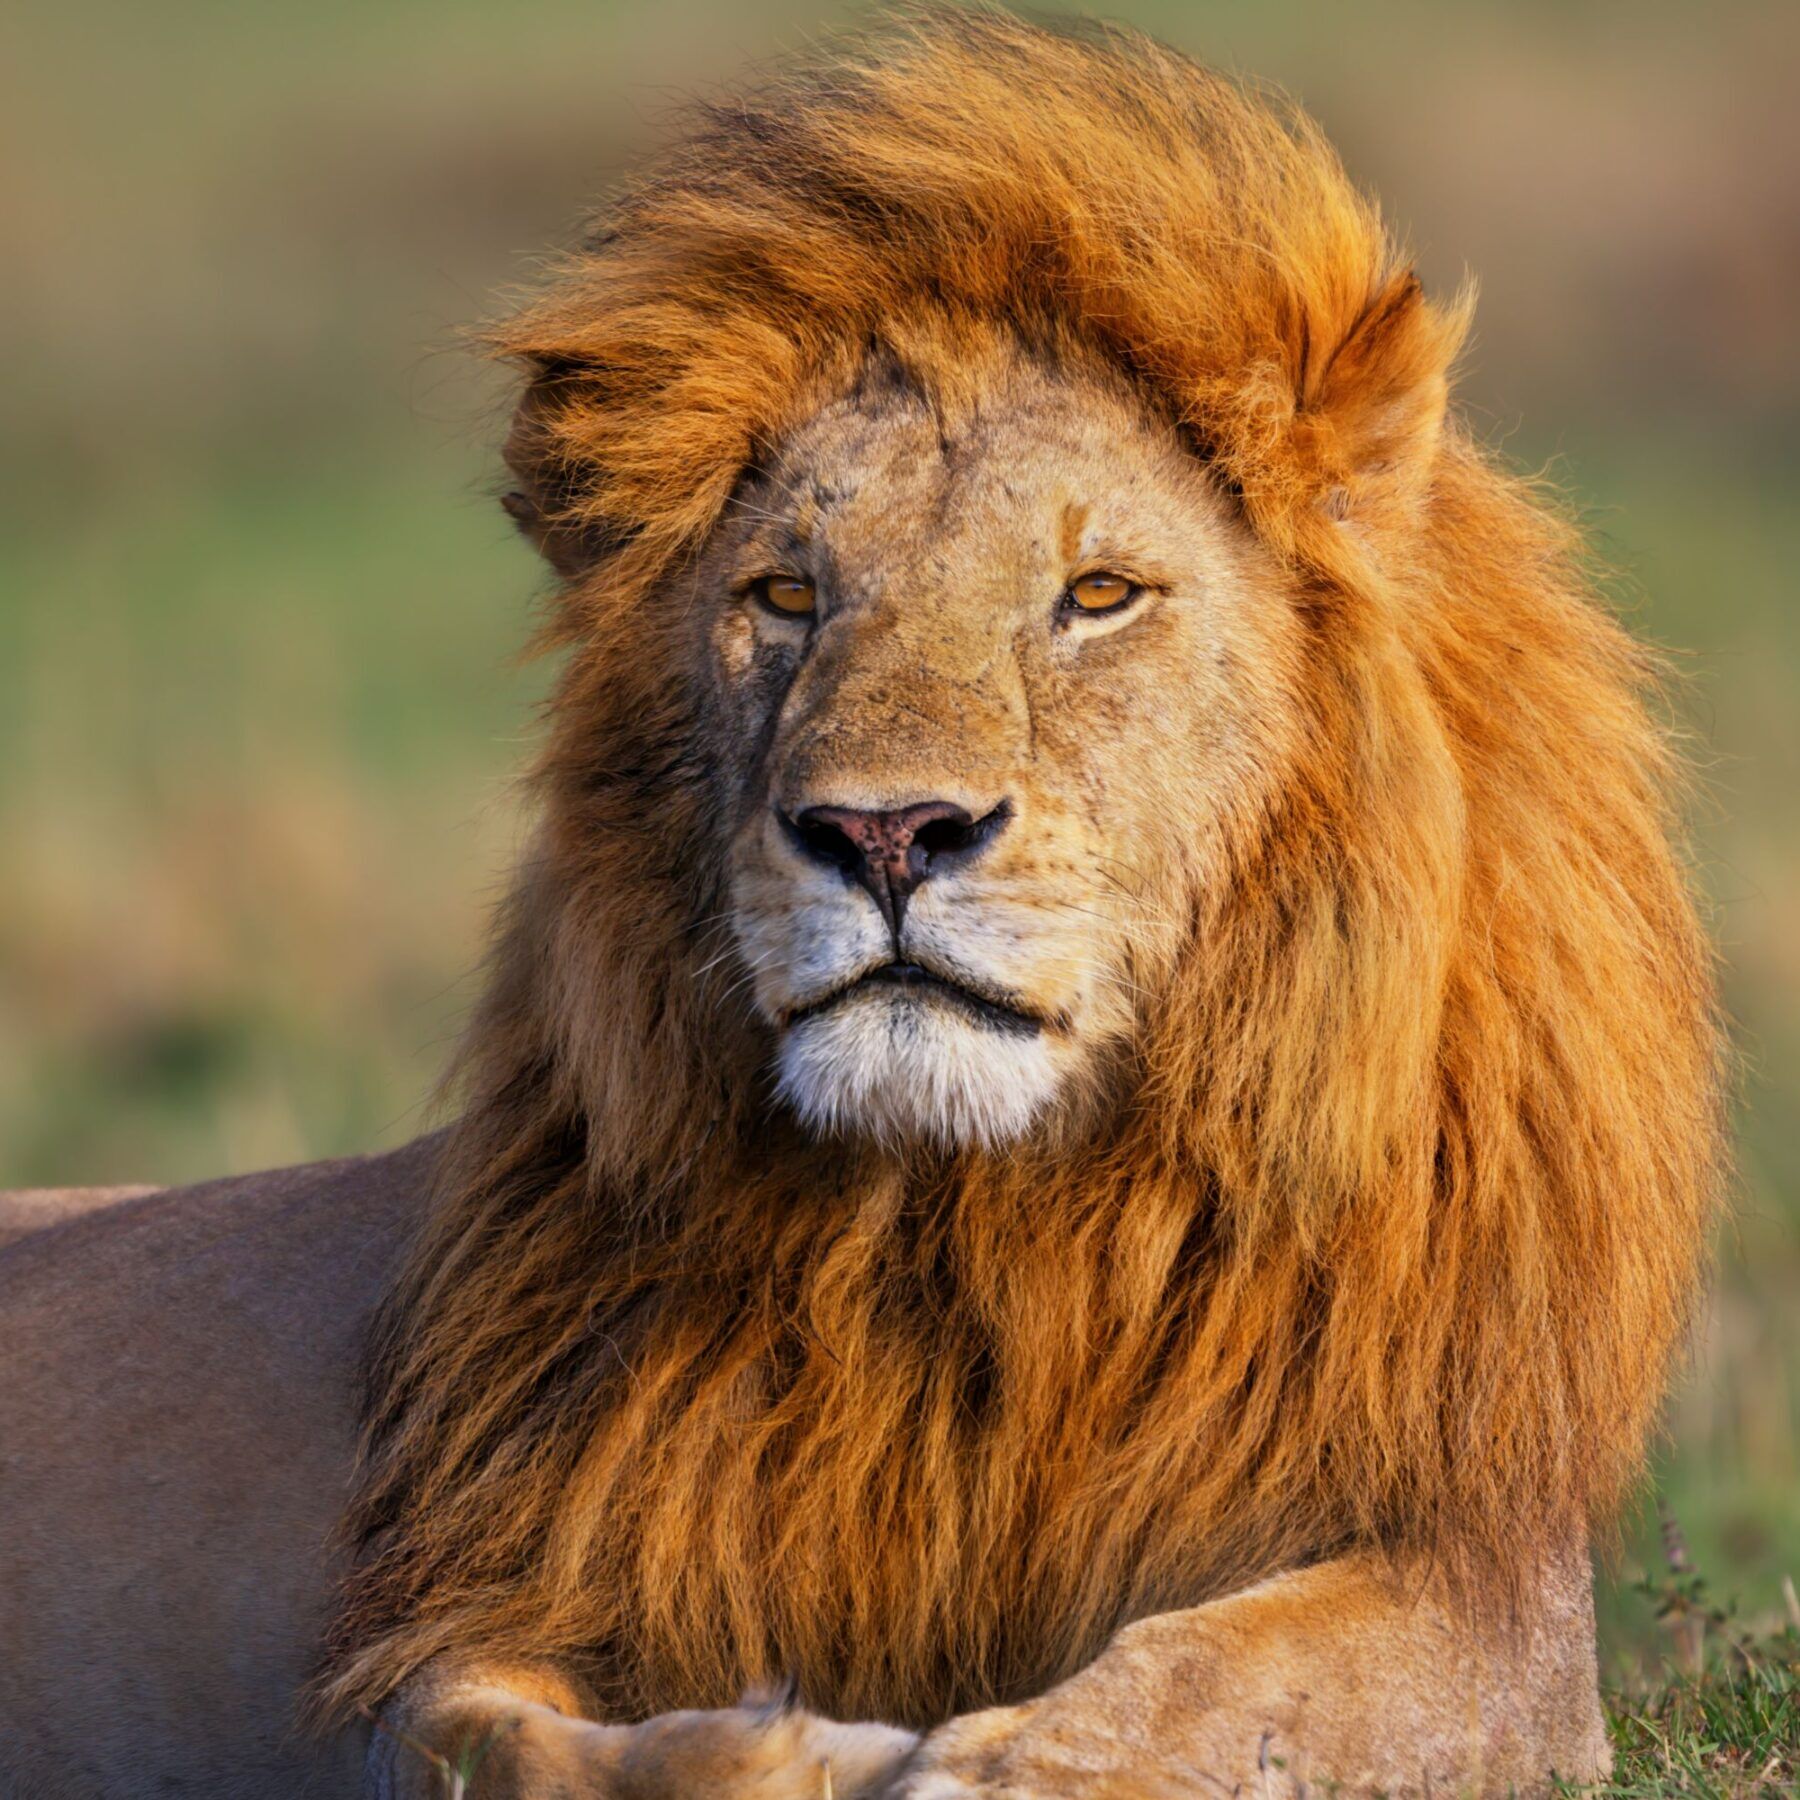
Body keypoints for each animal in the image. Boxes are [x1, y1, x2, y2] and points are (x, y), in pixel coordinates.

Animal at [0, 13, 1723, 1798]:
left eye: (1097, 594)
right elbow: (503, 1741)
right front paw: (796, 1752)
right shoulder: (478, 1589)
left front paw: (988, 1764)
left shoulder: (1483, 1594)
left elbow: (1233, 1681)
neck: (978, 1236)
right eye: (786, 596)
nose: (884, 833)